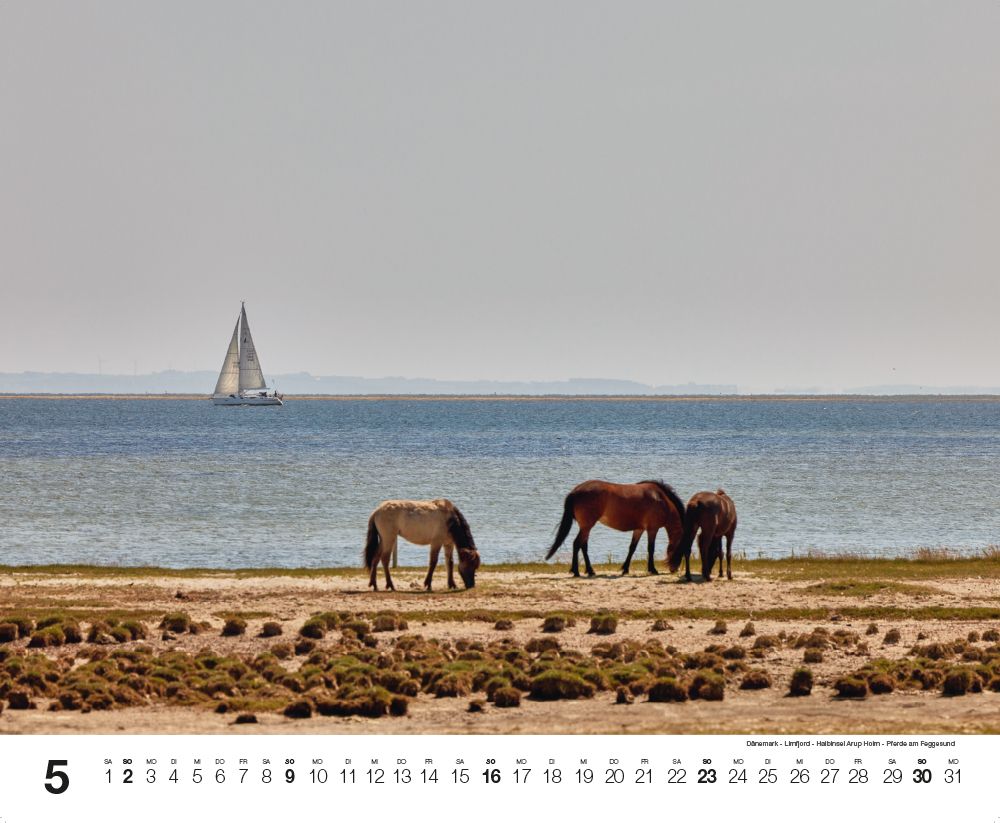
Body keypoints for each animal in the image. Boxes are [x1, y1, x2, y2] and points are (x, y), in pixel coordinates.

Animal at [544, 480, 686, 577]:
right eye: (681, 551)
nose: (674, 569)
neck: (661, 500)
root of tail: (575, 491)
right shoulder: (652, 529)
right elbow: (650, 549)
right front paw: (653, 569)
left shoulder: (639, 529)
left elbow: (632, 548)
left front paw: (625, 569)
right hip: (587, 526)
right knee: (577, 544)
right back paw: (576, 571)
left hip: (586, 527)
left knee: (583, 545)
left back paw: (590, 571)